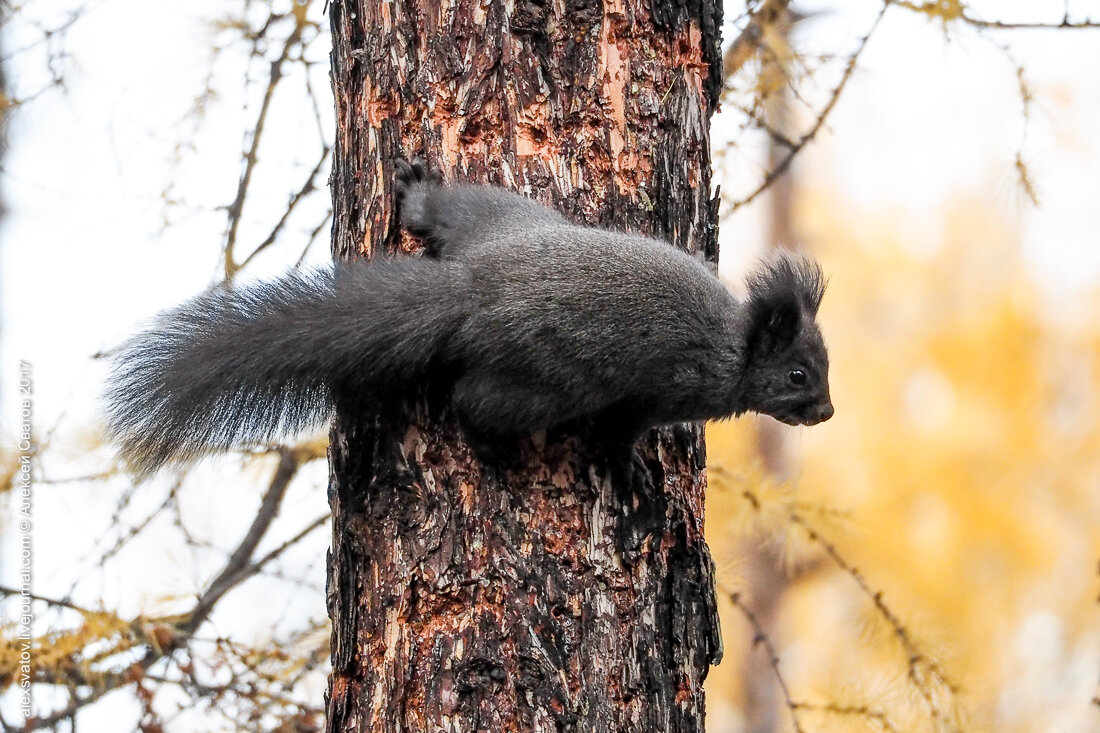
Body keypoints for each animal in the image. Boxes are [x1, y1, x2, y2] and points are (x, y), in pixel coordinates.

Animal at [105, 159, 831, 479]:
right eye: (799, 374)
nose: (825, 413)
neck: (736, 346)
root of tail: (472, 287)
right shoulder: (660, 389)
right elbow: (620, 435)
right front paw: (632, 476)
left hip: (501, 212)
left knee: (447, 211)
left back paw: (418, 195)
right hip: (548, 379)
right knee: (473, 401)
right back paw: (490, 449)